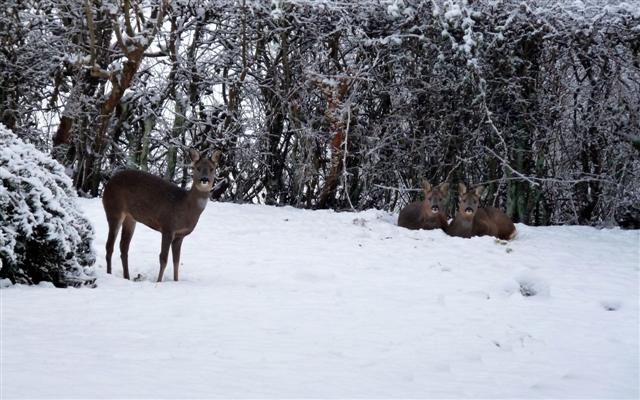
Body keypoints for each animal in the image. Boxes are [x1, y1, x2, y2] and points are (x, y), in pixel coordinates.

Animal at [102, 149, 222, 282]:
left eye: (212, 168)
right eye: (197, 168)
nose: (204, 179)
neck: (185, 207)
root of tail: (108, 184)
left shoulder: (180, 235)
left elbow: (176, 261)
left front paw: (176, 281)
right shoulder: (167, 227)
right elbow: (163, 258)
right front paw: (159, 281)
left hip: (130, 217)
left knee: (123, 246)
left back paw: (127, 277)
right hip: (114, 210)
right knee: (109, 245)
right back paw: (109, 274)